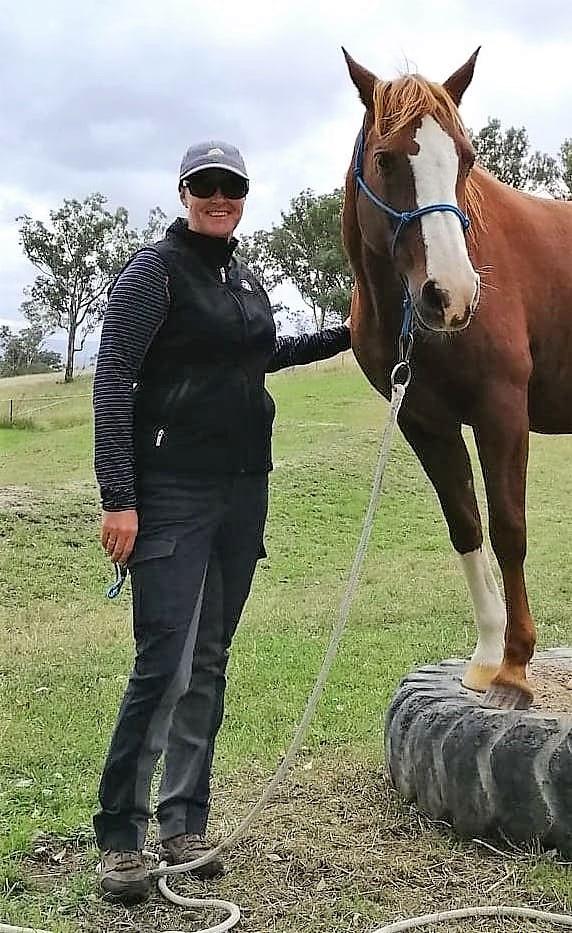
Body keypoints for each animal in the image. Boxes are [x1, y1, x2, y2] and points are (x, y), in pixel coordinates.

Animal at [342, 49, 572, 708]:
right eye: (386, 159)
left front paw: (516, 667)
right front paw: (489, 656)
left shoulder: (503, 412)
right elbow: (467, 526)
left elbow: (510, 529)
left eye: (467, 158)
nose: (451, 296)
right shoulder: (424, 422)